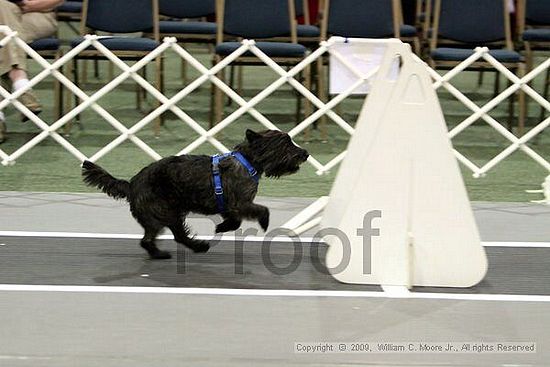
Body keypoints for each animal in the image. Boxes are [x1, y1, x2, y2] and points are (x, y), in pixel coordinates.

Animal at [81, 129, 308, 258]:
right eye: (285, 143)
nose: (305, 153)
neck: (248, 161)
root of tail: (132, 184)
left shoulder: (229, 205)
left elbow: (234, 221)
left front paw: (222, 227)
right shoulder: (240, 203)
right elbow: (263, 210)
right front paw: (263, 222)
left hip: (169, 214)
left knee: (171, 236)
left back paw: (193, 248)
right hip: (163, 212)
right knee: (155, 239)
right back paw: (169, 253)